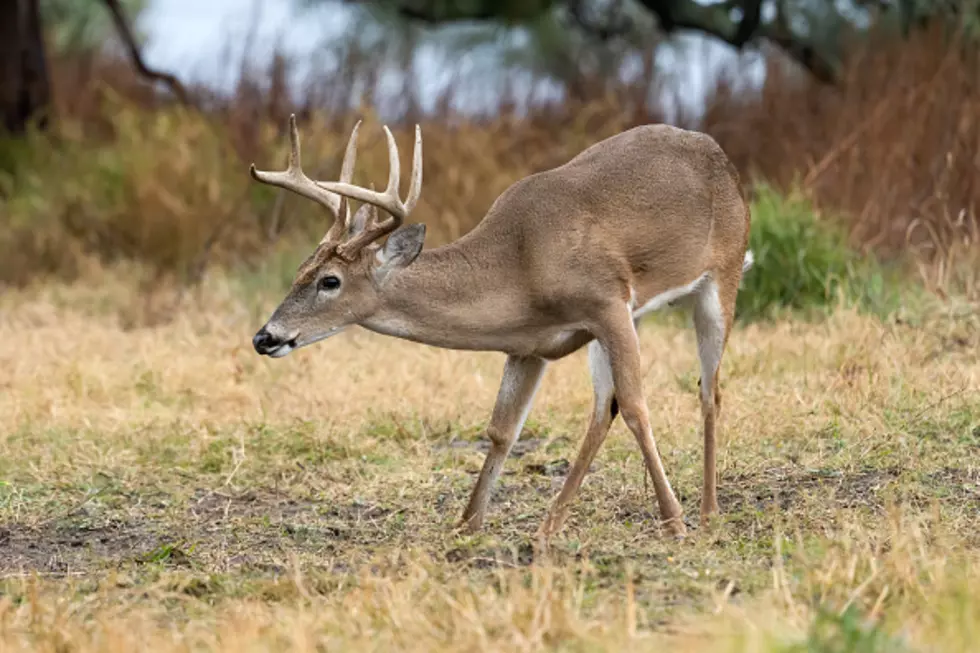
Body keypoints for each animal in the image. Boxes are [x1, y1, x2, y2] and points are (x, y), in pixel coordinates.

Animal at [249, 115, 753, 543]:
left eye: (330, 281)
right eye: (300, 270)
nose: (264, 337)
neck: (520, 265)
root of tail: (723, 159)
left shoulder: (607, 302)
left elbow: (635, 406)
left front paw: (675, 522)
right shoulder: (531, 344)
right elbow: (502, 429)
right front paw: (467, 523)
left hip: (721, 276)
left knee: (708, 390)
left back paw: (707, 512)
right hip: (635, 318)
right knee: (601, 409)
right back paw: (551, 524)